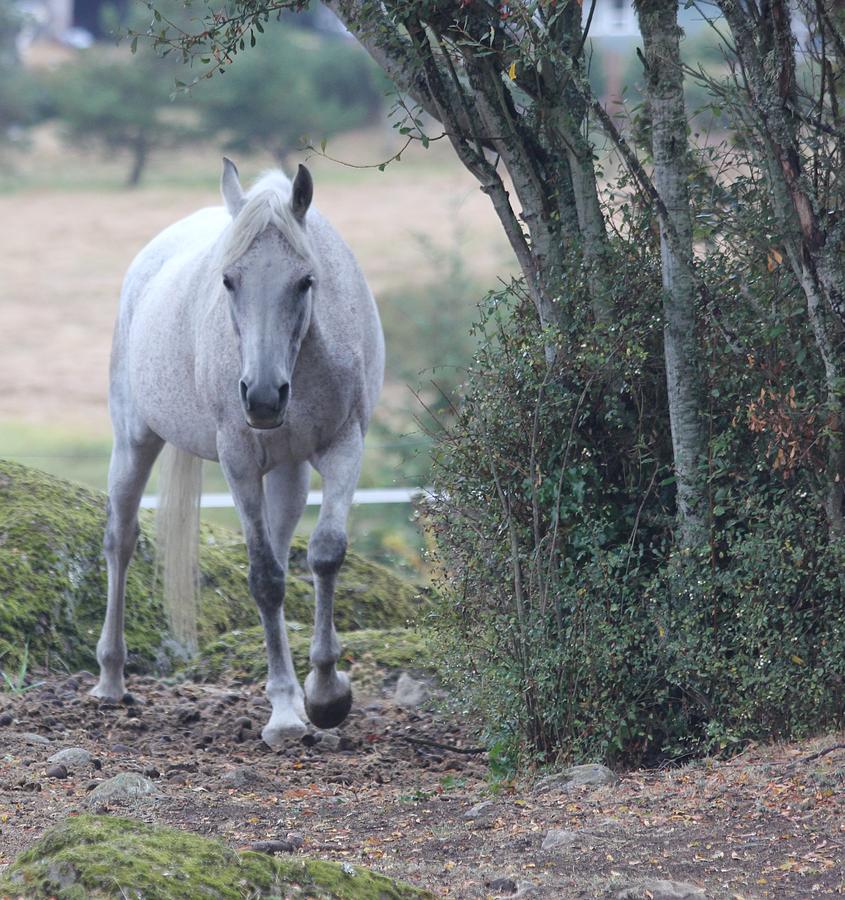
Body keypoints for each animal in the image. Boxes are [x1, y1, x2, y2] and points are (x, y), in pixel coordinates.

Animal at [91, 156, 382, 744]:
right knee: (121, 540)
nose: (264, 397)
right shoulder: (240, 462)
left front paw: (326, 695)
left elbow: (325, 553)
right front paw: (287, 712)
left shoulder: (344, 446)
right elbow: (265, 579)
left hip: (288, 470)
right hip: (134, 441)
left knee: (284, 543)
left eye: (306, 280)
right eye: (228, 280)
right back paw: (110, 678)